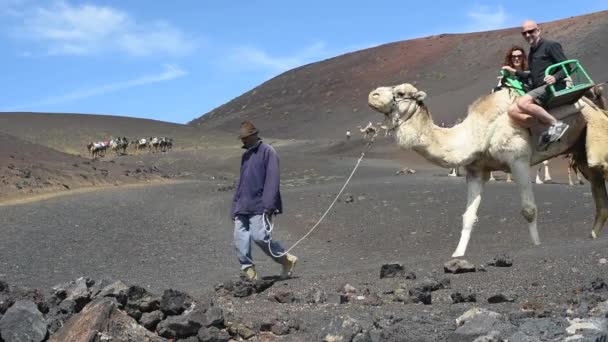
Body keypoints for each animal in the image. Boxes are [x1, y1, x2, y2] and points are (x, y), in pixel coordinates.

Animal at [368, 84, 608, 258]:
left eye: (400, 93)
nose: (373, 94)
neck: (476, 133)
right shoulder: (476, 170)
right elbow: (468, 216)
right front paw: (457, 255)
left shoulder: (518, 158)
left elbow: (529, 210)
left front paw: (537, 246)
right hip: (581, 150)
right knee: (598, 190)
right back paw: (593, 235)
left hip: (594, 132)